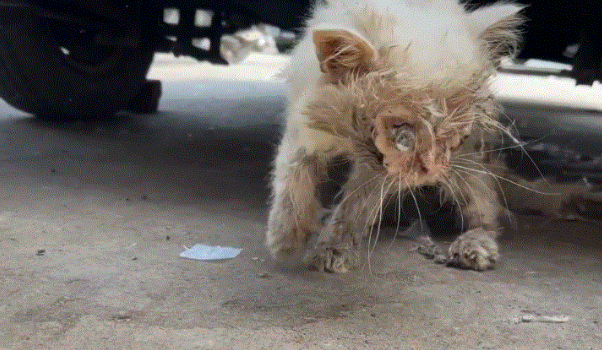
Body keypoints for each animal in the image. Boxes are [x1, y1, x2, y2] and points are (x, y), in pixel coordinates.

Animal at [264, 0, 524, 272]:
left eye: (455, 132)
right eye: (403, 130)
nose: (433, 171)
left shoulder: (383, 170)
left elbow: (357, 203)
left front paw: (333, 248)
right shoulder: (303, 118)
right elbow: (291, 173)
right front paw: (285, 234)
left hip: (469, 162)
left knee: (485, 204)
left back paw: (476, 243)